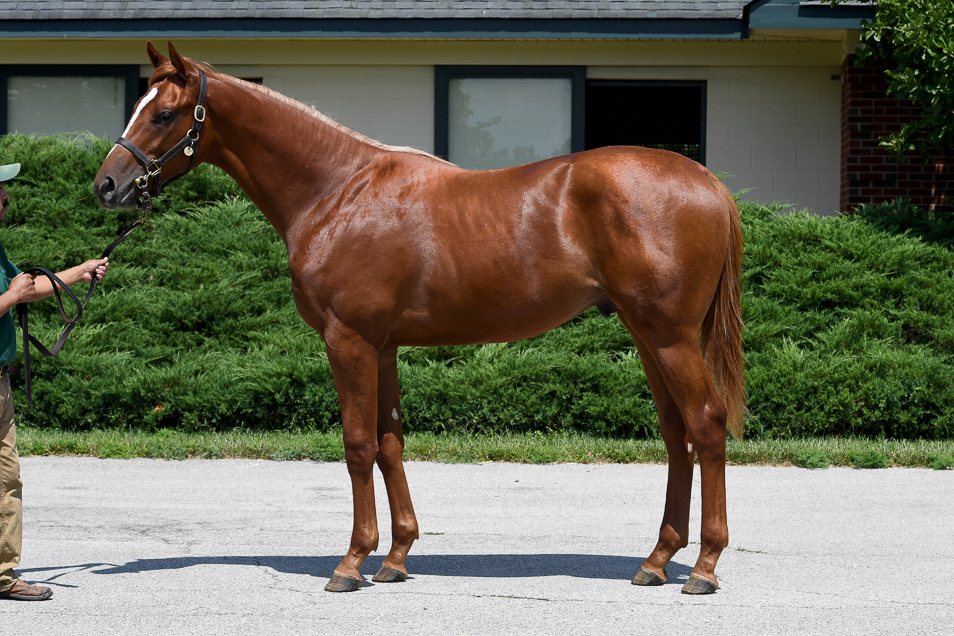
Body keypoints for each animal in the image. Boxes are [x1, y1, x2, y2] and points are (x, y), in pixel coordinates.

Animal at [93, 42, 744, 592]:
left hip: (670, 336)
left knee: (707, 425)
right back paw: (657, 561)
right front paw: (396, 558)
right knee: (677, 434)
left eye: (163, 115)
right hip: (647, 335)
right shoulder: (382, 347)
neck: (337, 192)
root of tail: (708, 181)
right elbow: (389, 443)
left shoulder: (349, 341)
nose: (107, 185)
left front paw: (351, 562)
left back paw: (704, 567)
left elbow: (357, 445)